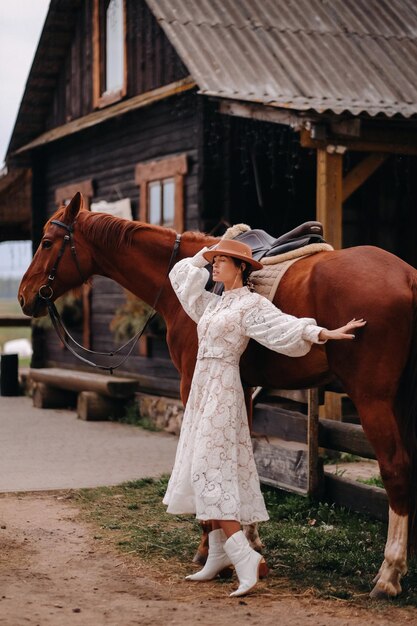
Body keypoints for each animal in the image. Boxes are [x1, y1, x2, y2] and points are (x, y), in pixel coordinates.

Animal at [19, 193, 417, 596]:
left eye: (47, 243)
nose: (24, 296)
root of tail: (407, 276)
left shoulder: (192, 383)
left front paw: (210, 547)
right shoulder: (244, 387)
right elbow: (245, 459)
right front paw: (248, 538)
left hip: (373, 399)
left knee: (396, 470)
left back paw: (388, 573)